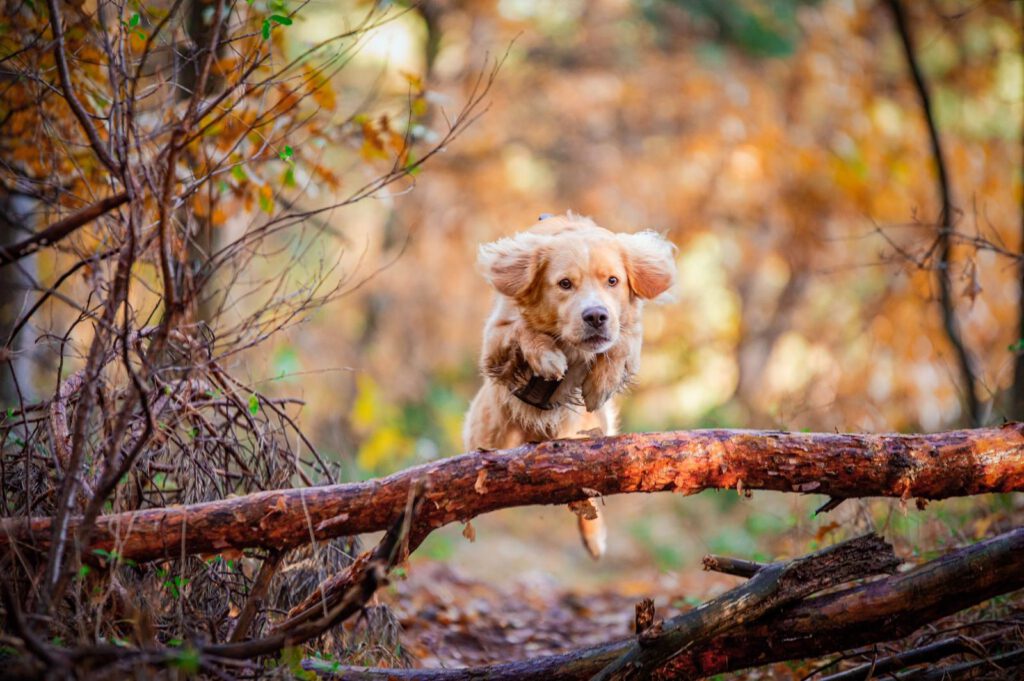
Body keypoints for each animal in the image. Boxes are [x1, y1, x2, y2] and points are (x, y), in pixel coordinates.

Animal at [462, 214, 671, 557]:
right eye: (564, 284)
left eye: (612, 281)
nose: (596, 316)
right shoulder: (494, 342)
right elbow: (521, 329)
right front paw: (547, 356)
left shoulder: (628, 331)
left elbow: (621, 342)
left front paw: (601, 381)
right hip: (487, 435)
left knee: (589, 491)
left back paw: (594, 537)